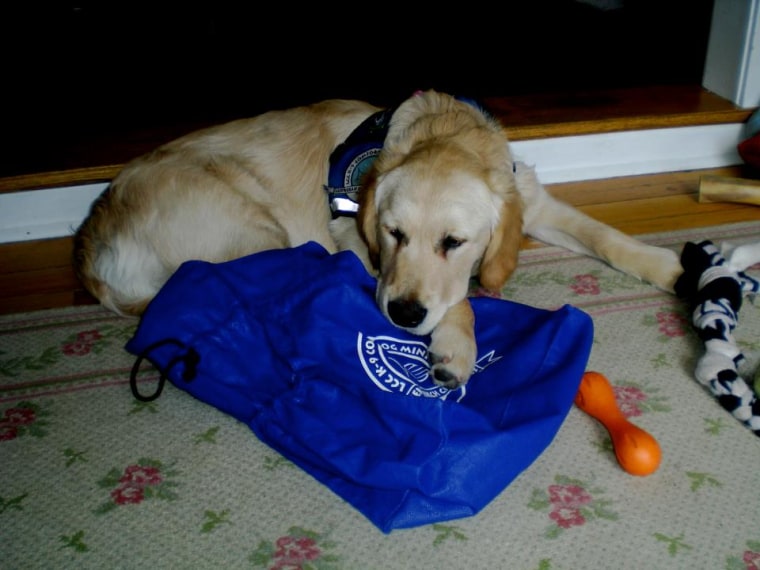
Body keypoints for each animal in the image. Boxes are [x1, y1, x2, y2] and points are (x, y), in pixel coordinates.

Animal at [74, 91, 684, 388]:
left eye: (453, 242)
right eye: (394, 234)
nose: (405, 314)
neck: (444, 131)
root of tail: (94, 232)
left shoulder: (529, 197)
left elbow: (604, 234)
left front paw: (676, 268)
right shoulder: (358, 243)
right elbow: (459, 301)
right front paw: (455, 347)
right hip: (255, 228)